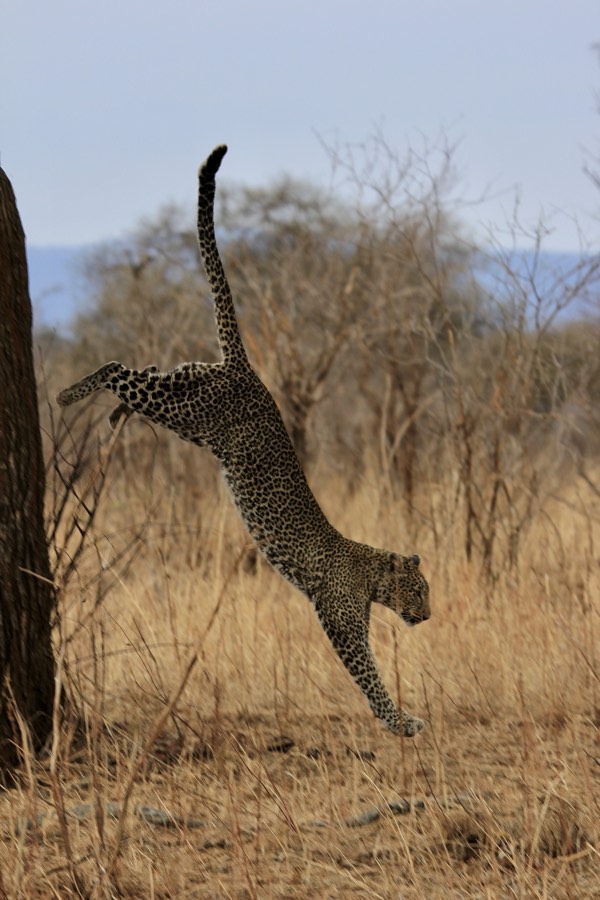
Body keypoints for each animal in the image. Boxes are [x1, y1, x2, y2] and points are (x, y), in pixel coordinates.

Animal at [57, 145, 431, 737]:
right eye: (418, 591)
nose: (430, 614)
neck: (370, 571)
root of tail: (247, 368)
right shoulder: (340, 620)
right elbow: (369, 675)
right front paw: (400, 722)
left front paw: (403, 719)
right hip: (190, 410)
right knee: (117, 368)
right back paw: (69, 396)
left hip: (188, 402)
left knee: (143, 372)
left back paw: (113, 413)